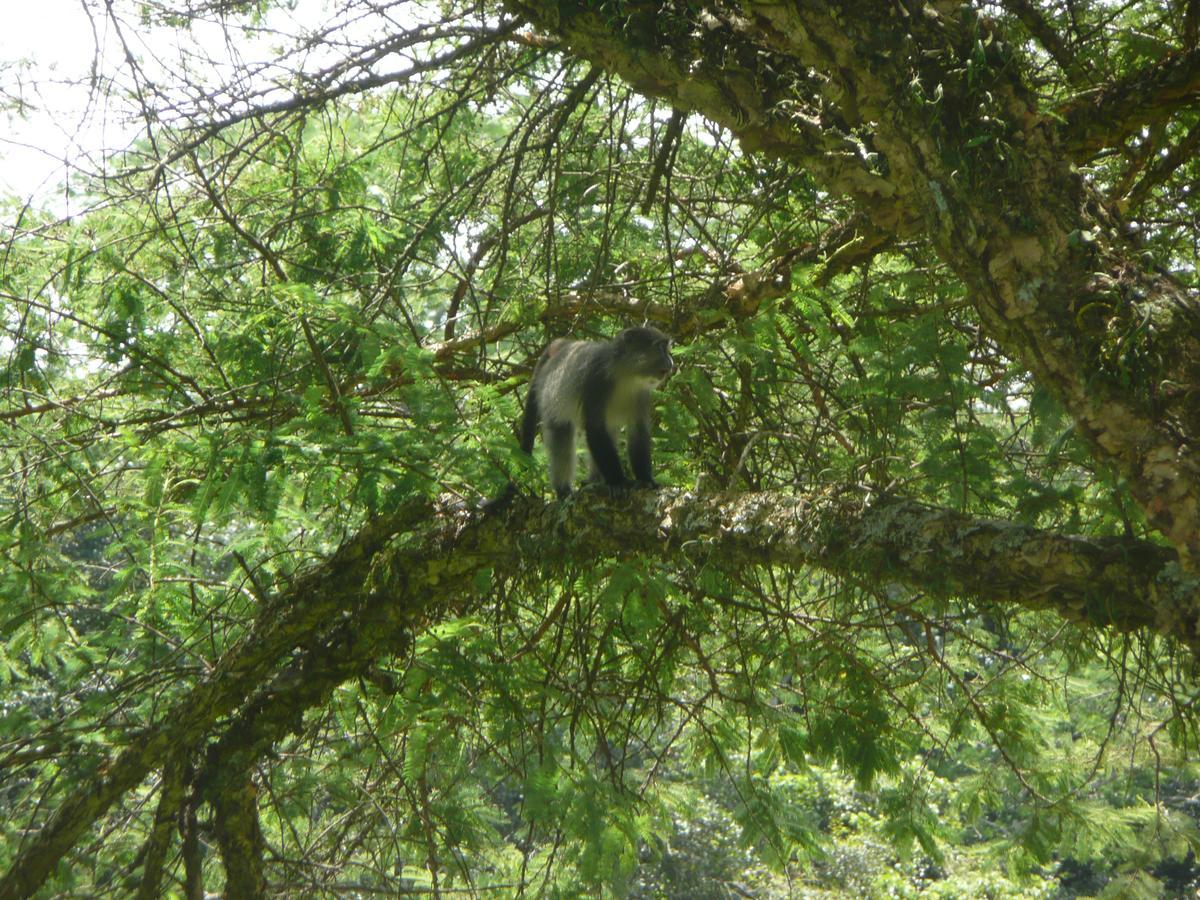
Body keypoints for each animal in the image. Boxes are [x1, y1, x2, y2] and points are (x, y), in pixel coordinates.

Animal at [487, 326, 676, 511]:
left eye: (667, 349)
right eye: (660, 348)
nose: (671, 363)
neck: (624, 376)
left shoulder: (641, 394)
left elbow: (638, 433)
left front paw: (645, 480)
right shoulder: (596, 381)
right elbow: (594, 429)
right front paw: (618, 482)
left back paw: (593, 480)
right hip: (551, 397)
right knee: (562, 435)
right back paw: (564, 490)